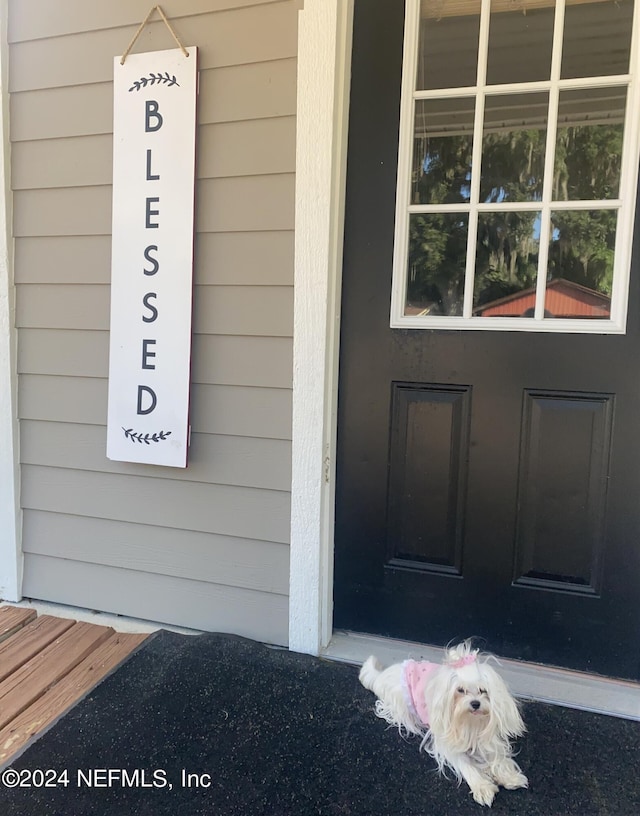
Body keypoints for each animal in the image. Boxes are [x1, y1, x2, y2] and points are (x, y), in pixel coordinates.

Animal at [360, 640, 528, 808]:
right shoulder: (449, 744)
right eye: (460, 690)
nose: (475, 703)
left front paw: (510, 777)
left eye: (482, 690)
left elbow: (498, 757)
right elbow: (466, 764)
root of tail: (383, 674)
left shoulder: (487, 739)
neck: (469, 722)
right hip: (402, 708)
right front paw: (482, 787)